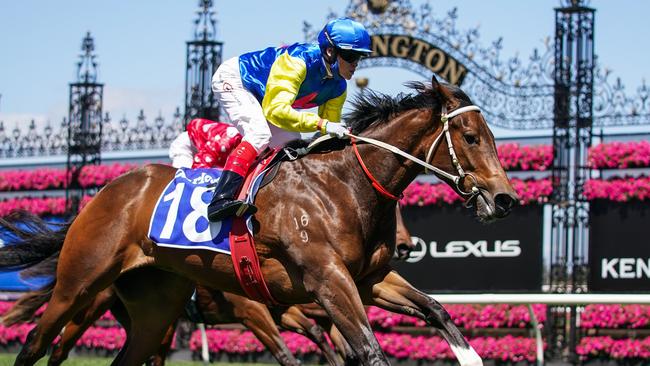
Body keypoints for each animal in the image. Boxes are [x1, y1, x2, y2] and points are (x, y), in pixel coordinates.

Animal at [1, 75, 516, 366]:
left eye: (490, 135)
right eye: (470, 136)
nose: (505, 198)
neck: (343, 185)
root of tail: (103, 192)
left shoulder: (367, 278)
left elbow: (437, 310)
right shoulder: (322, 281)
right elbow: (365, 351)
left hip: (154, 307)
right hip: (81, 283)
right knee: (36, 345)